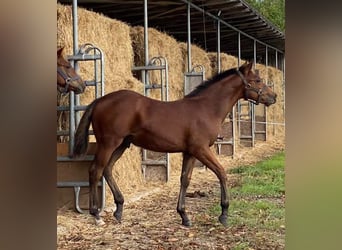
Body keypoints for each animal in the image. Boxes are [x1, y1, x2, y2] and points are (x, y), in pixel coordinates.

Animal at [73, 61, 276, 227]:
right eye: (257, 80)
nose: (273, 96)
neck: (206, 108)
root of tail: (100, 100)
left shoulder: (190, 152)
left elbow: (185, 179)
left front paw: (184, 216)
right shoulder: (201, 149)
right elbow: (221, 173)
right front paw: (224, 214)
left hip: (122, 144)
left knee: (107, 169)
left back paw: (119, 210)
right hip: (108, 143)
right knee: (95, 171)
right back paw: (96, 215)